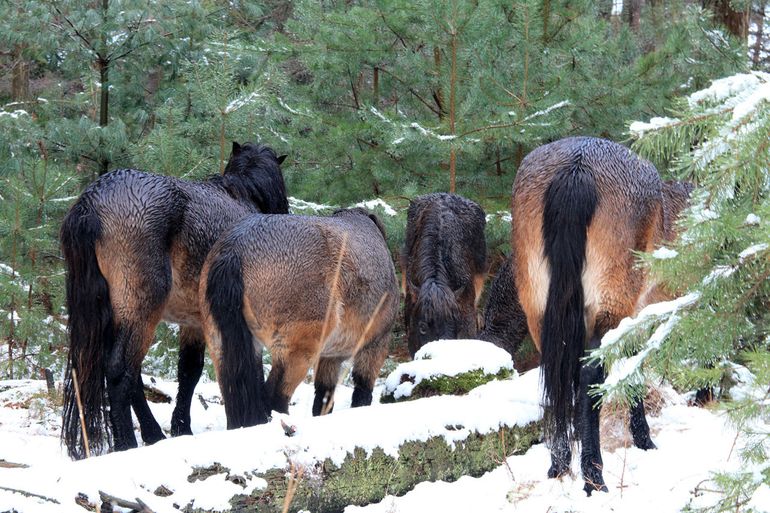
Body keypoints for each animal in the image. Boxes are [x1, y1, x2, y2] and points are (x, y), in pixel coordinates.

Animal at [60, 142, 288, 458]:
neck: (243, 197)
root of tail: (91, 202)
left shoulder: (192, 321)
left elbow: (187, 370)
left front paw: (181, 427)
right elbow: (224, 368)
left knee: (130, 373)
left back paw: (152, 433)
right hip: (141, 311)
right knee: (119, 370)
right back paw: (126, 443)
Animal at [201, 206, 400, 426]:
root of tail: (234, 250)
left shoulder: (330, 356)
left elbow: (323, 396)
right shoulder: (375, 345)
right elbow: (362, 391)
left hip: (222, 347)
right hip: (297, 352)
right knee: (274, 396)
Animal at [510, 135, 688, 492]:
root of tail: (576, 169)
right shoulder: (634, 314)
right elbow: (634, 367)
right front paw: (644, 439)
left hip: (538, 306)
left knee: (555, 373)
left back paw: (559, 465)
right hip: (609, 305)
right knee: (590, 375)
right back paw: (593, 476)